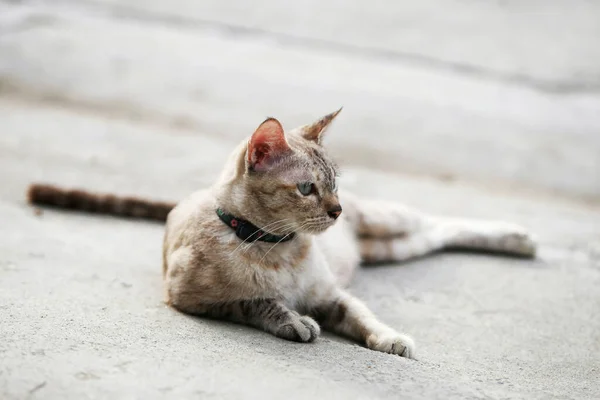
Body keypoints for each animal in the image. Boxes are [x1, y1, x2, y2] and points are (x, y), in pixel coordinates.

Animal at [27, 109, 536, 360]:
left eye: (334, 184)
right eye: (308, 189)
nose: (337, 211)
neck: (279, 248)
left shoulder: (333, 296)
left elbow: (365, 318)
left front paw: (391, 340)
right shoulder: (190, 298)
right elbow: (257, 301)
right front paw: (294, 321)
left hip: (391, 224)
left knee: (442, 221)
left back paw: (521, 238)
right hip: (395, 246)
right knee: (439, 232)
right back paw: (521, 241)